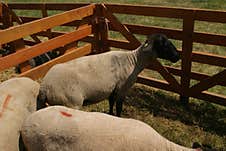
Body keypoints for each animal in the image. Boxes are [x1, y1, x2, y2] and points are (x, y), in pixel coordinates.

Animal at [37, 34, 180, 117]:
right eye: (165, 44)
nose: (177, 57)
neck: (134, 61)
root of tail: (44, 87)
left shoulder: (112, 89)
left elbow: (111, 103)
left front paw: (110, 114)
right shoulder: (122, 88)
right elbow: (119, 107)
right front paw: (118, 117)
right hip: (71, 103)